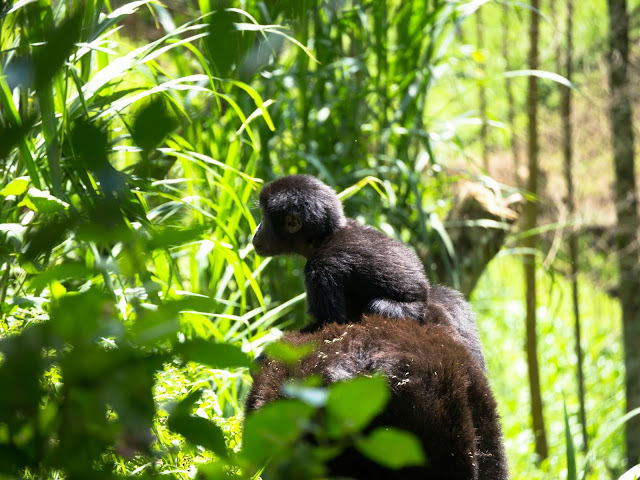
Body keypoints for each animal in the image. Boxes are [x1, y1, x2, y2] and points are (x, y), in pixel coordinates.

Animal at [254, 175, 430, 330]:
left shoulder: (321, 268)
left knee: (378, 306)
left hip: (412, 312)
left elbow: (327, 322)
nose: (255, 231)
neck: (324, 238)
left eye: (263, 218)